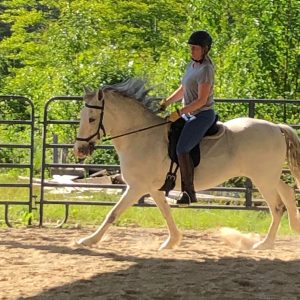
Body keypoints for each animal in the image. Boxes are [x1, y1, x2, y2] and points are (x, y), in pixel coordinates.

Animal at [73, 78, 300, 250]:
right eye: (81, 116)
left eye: (92, 118)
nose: (79, 150)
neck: (142, 137)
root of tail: (276, 128)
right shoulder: (153, 188)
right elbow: (165, 212)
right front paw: (171, 242)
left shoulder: (137, 187)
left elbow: (113, 213)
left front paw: (88, 240)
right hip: (268, 176)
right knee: (288, 193)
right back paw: (293, 229)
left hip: (263, 179)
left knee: (277, 207)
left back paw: (264, 244)